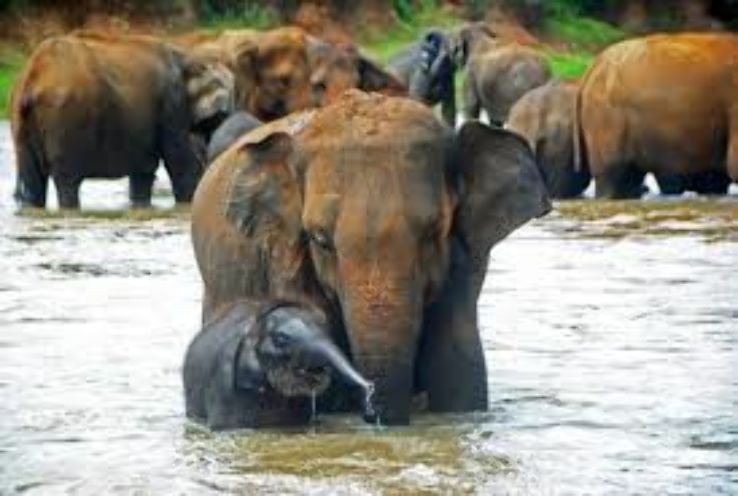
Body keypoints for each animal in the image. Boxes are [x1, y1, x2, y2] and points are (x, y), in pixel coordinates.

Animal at [10, 31, 234, 209]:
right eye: (221, 116)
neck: (191, 57)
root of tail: (33, 78)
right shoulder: (172, 103)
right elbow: (180, 163)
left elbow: (143, 171)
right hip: (64, 119)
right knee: (67, 181)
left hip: (21, 120)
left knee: (33, 182)